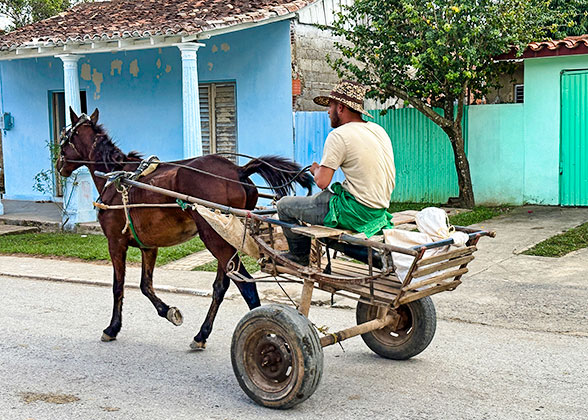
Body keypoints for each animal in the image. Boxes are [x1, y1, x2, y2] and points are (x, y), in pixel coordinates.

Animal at [56, 107, 312, 348]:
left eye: (64, 137)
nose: (59, 165)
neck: (116, 175)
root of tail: (238, 171)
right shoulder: (148, 246)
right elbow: (145, 285)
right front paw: (168, 311)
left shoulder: (115, 242)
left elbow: (118, 286)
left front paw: (112, 328)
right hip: (225, 237)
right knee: (222, 285)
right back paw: (202, 334)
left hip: (214, 237)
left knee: (244, 284)